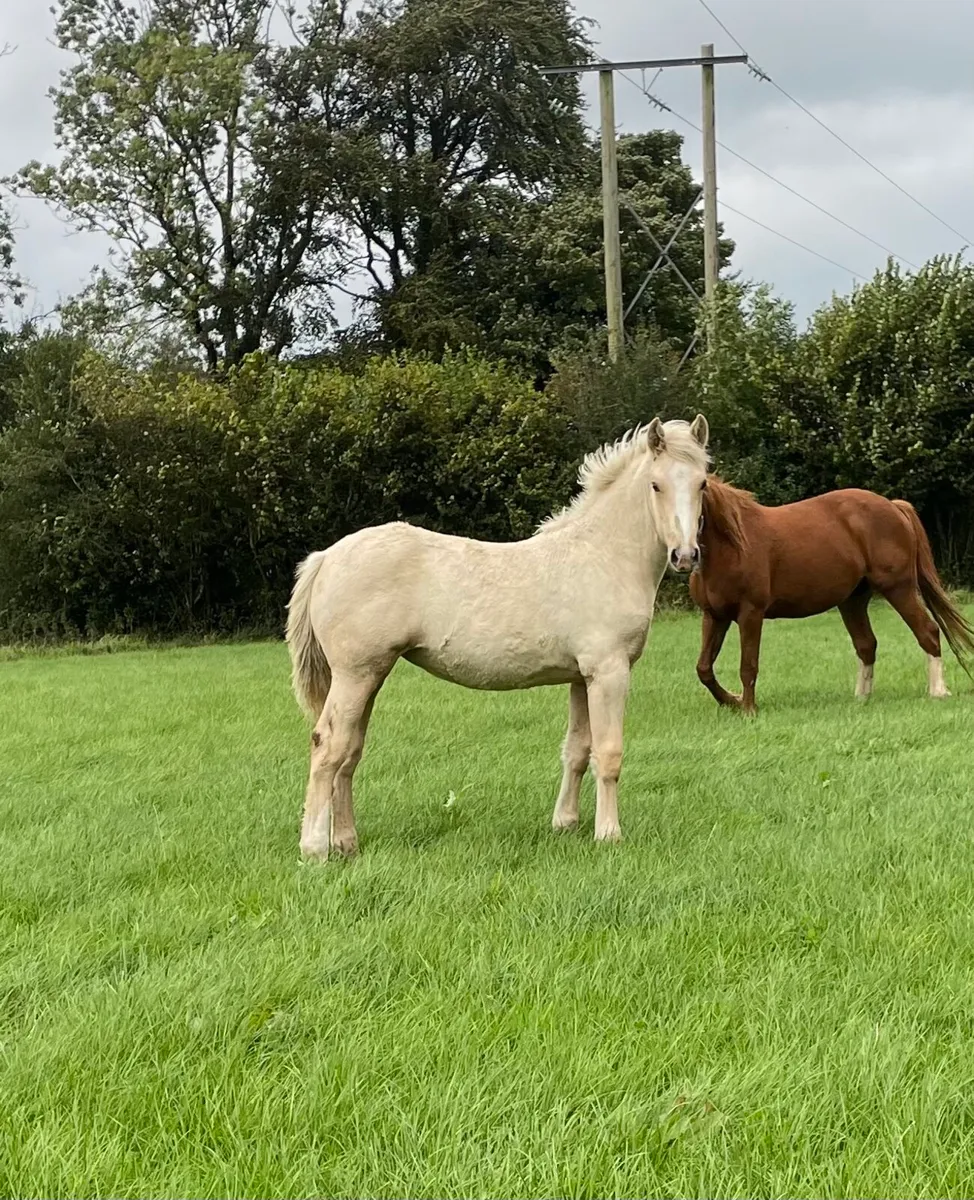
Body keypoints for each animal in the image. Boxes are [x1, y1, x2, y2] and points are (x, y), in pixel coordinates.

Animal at [285, 415, 712, 861]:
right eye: (655, 485)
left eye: (702, 482)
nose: (685, 557)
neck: (603, 555)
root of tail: (326, 557)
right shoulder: (609, 672)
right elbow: (608, 754)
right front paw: (609, 834)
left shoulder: (582, 678)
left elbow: (577, 750)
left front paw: (566, 823)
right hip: (355, 675)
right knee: (328, 747)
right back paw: (314, 849)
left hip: (369, 677)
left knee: (349, 752)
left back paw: (346, 842)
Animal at [689, 478, 974, 715]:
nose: (684, 555)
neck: (732, 543)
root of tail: (894, 506)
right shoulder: (714, 615)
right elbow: (704, 668)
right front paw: (732, 701)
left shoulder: (750, 612)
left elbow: (748, 665)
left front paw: (748, 709)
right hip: (853, 600)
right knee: (866, 644)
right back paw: (861, 698)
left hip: (899, 588)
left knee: (927, 631)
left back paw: (938, 691)